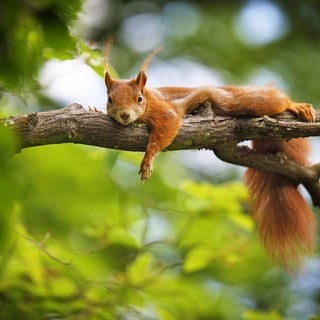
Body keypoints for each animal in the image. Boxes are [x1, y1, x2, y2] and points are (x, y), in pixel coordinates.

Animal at [102, 45, 316, 270]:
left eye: (139, 99)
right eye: (110, 100)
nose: (125, 115)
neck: (151, 99)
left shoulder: (166, 110)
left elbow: (167, 128)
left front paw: (148, 159)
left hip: (241, 101)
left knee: (274, 100)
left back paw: (295, 105)